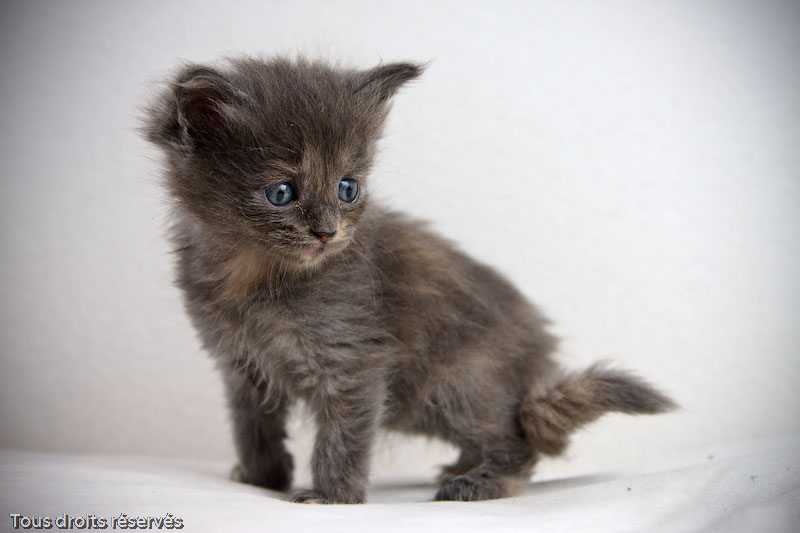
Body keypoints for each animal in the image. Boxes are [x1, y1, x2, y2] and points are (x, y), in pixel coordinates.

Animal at [143, 56, 675, 503]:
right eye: (281, 192)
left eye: (347, 188)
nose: (326, 232)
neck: (252, 273)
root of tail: (538, 361)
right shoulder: (240, 365)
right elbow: (252, 428)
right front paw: (260, 479)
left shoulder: (352, 360)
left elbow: (342, 436)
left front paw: (331, 497)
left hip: (456, 385)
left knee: (517, 436)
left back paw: (481, 482)